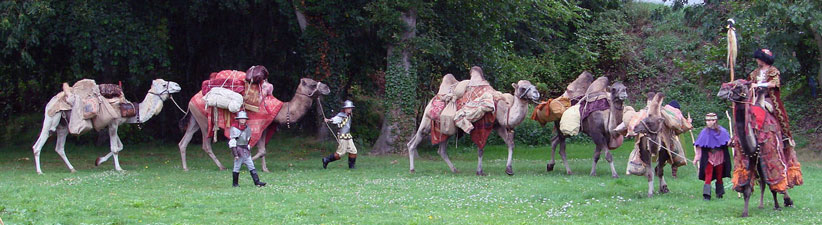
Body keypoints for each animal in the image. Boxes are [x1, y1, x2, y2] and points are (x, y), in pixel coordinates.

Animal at [32, 79, 182, 174]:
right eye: (164, 84)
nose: (178, 85)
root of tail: (50, 102)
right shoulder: (114, 124)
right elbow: (115, 148)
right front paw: (119, 168)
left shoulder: (112, 126)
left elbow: (120, 146)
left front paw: (98, 161)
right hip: (51, 118)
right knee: (38, 145)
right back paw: (40, 171)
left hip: (62, 126)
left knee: (59, 148)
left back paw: (72, 169)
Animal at [179, 78, 332, 171]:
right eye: (313, 84)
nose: (327, 87)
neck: (280, 110)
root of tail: (191, 100)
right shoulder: (257, 125)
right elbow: (256, 148)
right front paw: (244, 162)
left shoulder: (265, 127)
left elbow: (263, 149)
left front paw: (265, 169)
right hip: (205, 122)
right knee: (206, 144)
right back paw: (221, 166)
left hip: (195, 119)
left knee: (184, 141)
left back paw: (186, 168)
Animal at [408, 67, 548, 176]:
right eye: (523, 88)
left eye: (534, 86)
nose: (536, 94)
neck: (502, 109)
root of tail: (432, 99)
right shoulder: (481, 125)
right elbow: (481, 149)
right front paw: (480, 171)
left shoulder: (499, 126)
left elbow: (510, 144)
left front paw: (509, 169)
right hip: (427, 121)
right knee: (414, 142)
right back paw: (412, 169)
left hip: (445, 129)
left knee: (440, 150)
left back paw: (455, 170)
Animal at [716, 80, 800, 217]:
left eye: (740, 85)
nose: (721, 91)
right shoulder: (748, 158)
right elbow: (747, 188)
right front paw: (745, 212)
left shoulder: (770, 154)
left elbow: (774, 181)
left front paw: (777, 206)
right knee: (762, 182)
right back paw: (761, 205)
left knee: (782, 175)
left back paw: (787, 200)